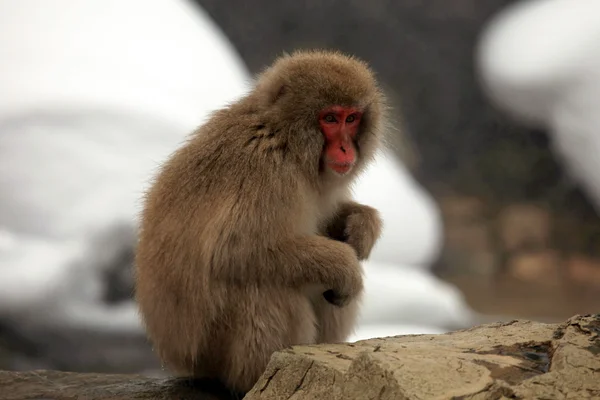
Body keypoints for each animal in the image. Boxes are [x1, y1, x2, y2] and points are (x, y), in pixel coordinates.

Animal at [134, 50, 386, 394]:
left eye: (352, 118)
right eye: (330, 118)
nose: (346, 148)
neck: (286, 139)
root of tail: (176, 358)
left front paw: (362, 225)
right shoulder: (266, 169)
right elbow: (236, 249)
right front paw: (345, 265)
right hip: (211, 351)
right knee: (266, 285)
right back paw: (260, 377)